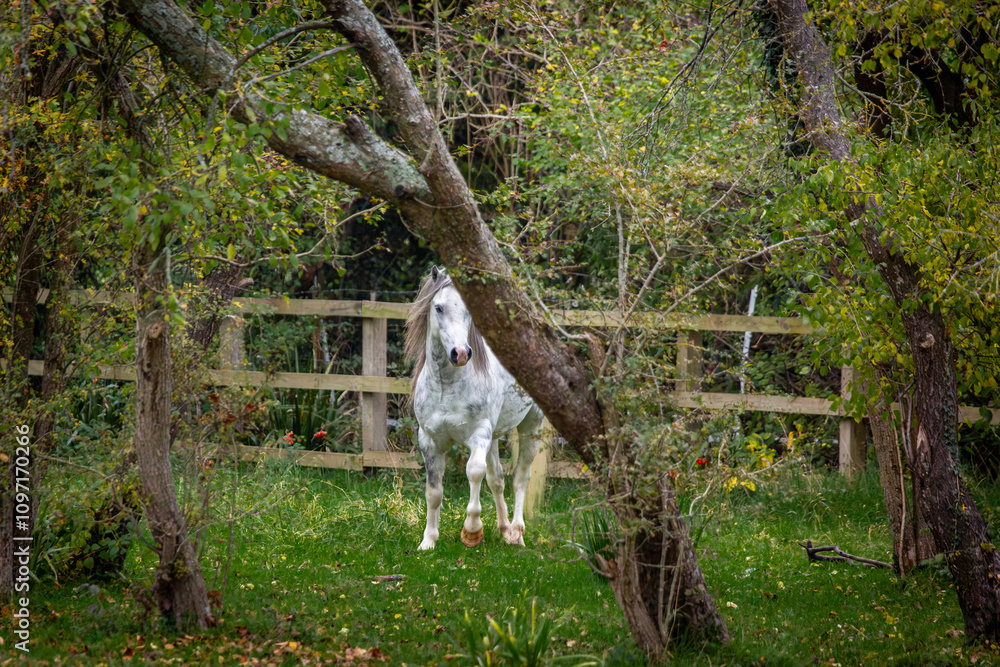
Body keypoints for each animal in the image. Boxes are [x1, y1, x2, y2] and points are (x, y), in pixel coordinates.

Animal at [404, 266, 543, 549]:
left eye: (468, 309)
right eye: (438, 308)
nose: (460, 353)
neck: (447, 386)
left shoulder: (479, 434)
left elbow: (474, 472)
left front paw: (472, 530)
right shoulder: (429, 441)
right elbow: (433, 492)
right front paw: (428, 540)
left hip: (531, 427)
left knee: (520, 478)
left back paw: (517, 534)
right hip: (494, 437)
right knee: (497, 479)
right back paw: (504, 530)